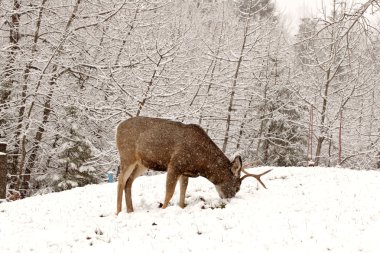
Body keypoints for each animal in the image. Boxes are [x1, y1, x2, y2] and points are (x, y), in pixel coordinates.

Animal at [114, 116, 272, 213]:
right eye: (237, 187)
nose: (229, 200)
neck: (201, 164)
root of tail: (117, 128)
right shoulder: (175, 164)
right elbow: (169, 192)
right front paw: (163, 210)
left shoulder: (185, 171)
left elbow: (183, 192)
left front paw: (180, 207)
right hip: (127, 155)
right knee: (121, 179)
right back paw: (118, 211)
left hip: (142, 163)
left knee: (129, 181)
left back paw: (130, 210)